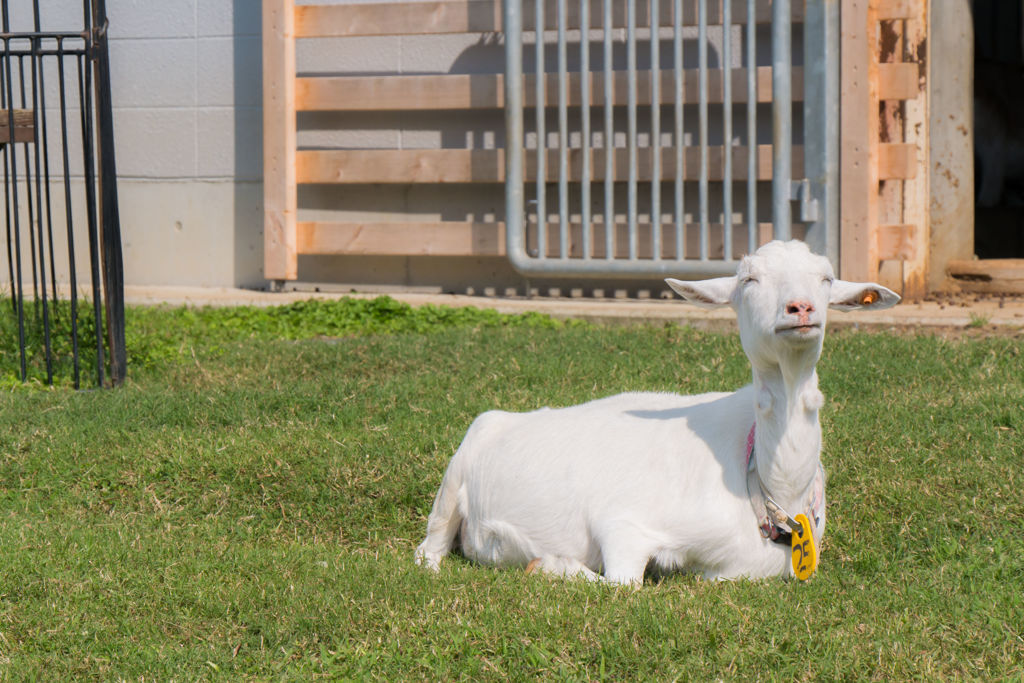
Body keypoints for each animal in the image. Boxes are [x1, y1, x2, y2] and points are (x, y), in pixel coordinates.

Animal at [413, 240, 897, 581]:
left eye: (827, 277)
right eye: (748, 280)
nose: (800, 308)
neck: (775, 488)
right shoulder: (621, 524)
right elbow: (620, 581)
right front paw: (546, 565)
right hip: (455, 476)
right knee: (428, 547)